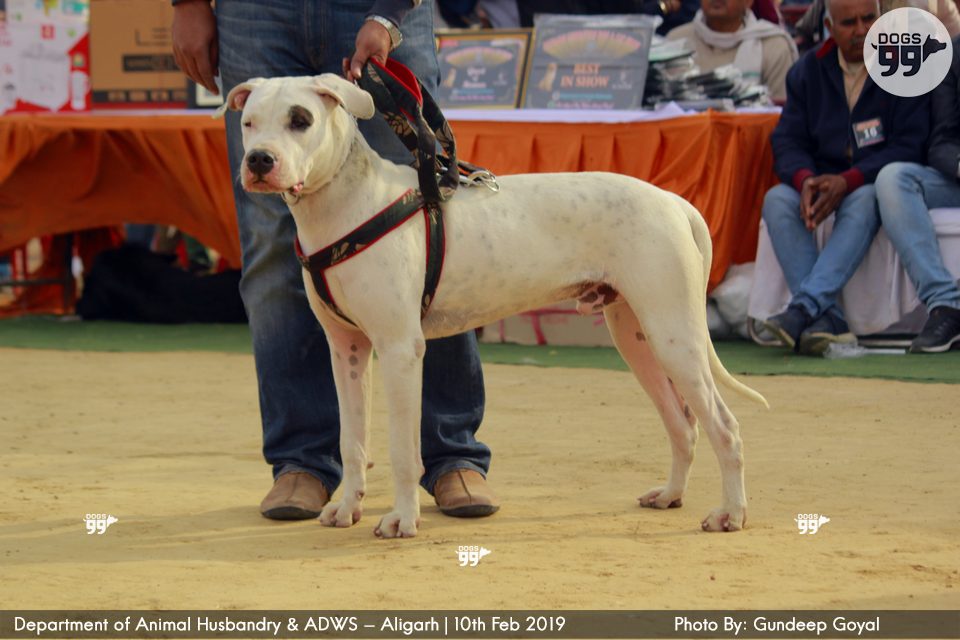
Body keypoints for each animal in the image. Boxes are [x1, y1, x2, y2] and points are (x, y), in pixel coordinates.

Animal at [221, 74, 768, 538]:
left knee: (726, 428)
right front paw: (346, 508)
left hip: (674, 335)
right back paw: (671, 495)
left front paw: (401, 520)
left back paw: (731, 514)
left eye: (300, 119)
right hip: (637, 337)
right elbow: (352, 441)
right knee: (683, 425)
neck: (347, 202)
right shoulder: (347, 350)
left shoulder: (399, 350)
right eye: (249, 123)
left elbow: (402, 449)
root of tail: (674, 201)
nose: (260, 160)